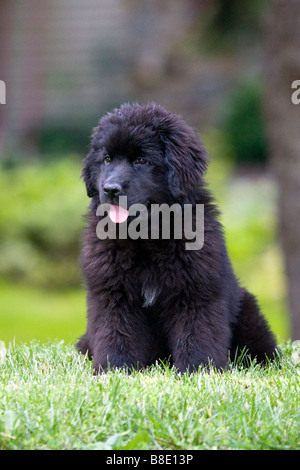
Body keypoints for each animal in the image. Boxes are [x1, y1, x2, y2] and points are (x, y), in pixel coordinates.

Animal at [77, 103, 276, 374]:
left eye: (141, 160)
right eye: (107, 159)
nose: (110, 189)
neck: (146, 237)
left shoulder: (196, 292)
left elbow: (197, 333)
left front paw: (198, 370)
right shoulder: (112, 293)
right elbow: (116, 332)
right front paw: (114, 369)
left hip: (248, 311)